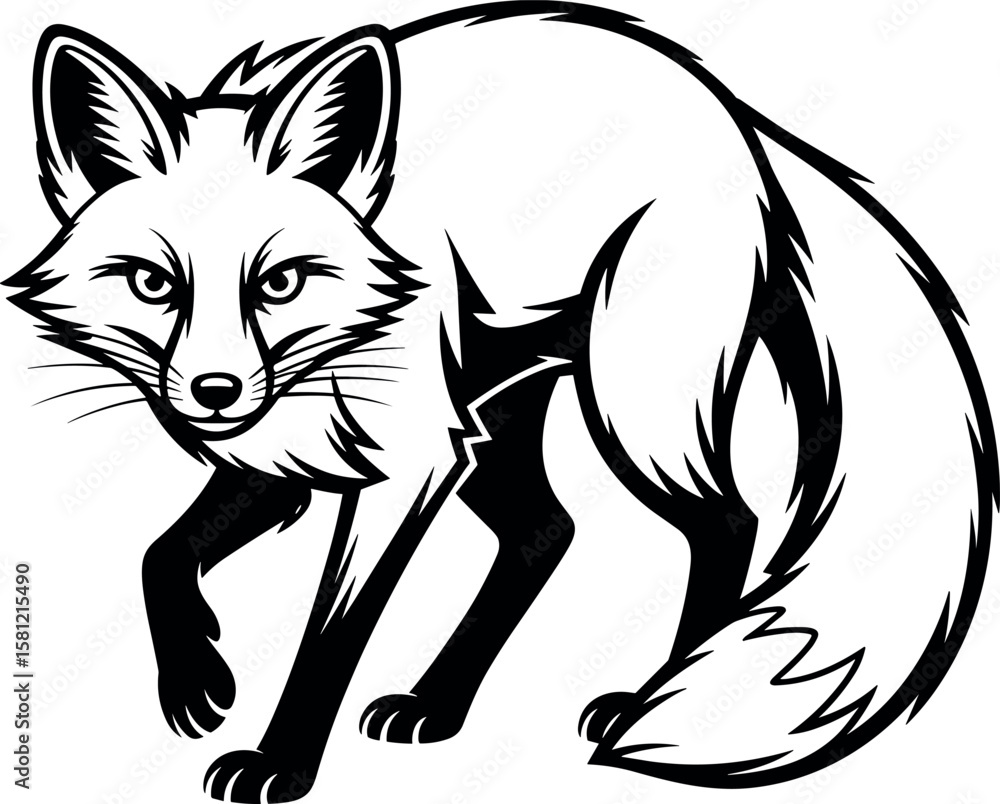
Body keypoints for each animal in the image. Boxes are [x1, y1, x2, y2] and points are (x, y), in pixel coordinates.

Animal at [5, 3, 997, 802]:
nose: (214, 393)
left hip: (626, 417)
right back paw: (438, 705)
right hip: (490, 426)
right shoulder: (288, 448)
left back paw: (653, 702)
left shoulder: (403, 464)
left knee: (729, 522)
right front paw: (197, 681)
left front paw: (281, 764)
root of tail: (739, 117)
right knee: (546, 531)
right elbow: (160, 556)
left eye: (280, 282)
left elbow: (330, 633)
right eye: (151, 283)